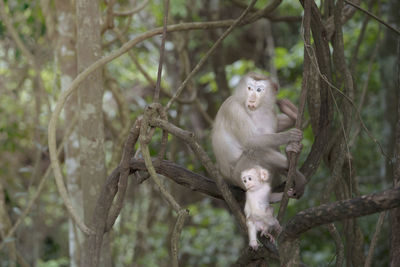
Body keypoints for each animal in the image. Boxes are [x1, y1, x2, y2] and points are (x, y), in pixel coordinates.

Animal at [212, 72, 306, 200]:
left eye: (259, 90)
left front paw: (293, 115)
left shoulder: (270, 112)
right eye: (249, 88)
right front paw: (289, 135)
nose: (251, 99)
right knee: (257, 151)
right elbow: (250, 141)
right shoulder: (233, 108)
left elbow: (274, 128)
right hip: (240, 176)